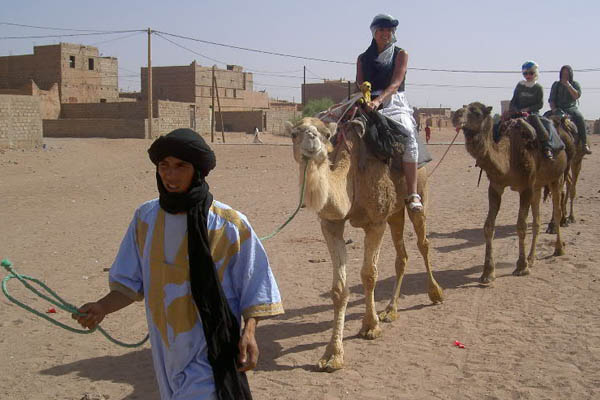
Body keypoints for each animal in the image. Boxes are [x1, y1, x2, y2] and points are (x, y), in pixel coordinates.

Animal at [284, 115, 442, 372]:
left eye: (326, 134)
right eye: (294, 133)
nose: (311, 139)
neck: (350, 180)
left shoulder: (376, 222)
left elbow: (369, 274)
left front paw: (370, 326)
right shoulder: (331, 224)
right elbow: (339, 289)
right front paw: (332, 355)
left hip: (419, 190)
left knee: (423, 243)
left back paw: (435, 293)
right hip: (395, 213)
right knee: (402, 255)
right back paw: (390, 310)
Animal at [452, 103, 568, 284]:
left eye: (476, 112)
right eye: (464, 107)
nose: (456, 115)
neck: (509, 157)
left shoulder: (526, 187)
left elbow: (521, 225)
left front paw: (521, 267)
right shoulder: (496, 186)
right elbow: (488, 226)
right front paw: (487, 273)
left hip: (557, 177)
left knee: (556, 211)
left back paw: (558, 249)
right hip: (537, 186)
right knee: (537, 220)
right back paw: (531, 258)